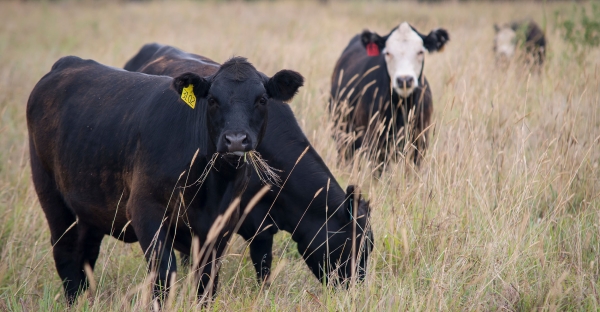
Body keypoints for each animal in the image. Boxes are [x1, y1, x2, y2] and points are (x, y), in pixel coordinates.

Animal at [25, 54, 302, 304]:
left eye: (262, 99)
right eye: (213, 99)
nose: (235, 139)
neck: (211, 187)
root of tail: (68, 63)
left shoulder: (222, 224)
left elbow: (207, 280)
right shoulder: (146, 211)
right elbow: (164, 273)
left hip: (90, 205)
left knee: (87, 253)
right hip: (51, 193)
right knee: (66, 252)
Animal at [330, 22, 448, 166]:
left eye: (420, 52)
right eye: (388, 53)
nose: (404, 80)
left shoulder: (419, 141)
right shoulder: (377, 143)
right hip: (343, 137)